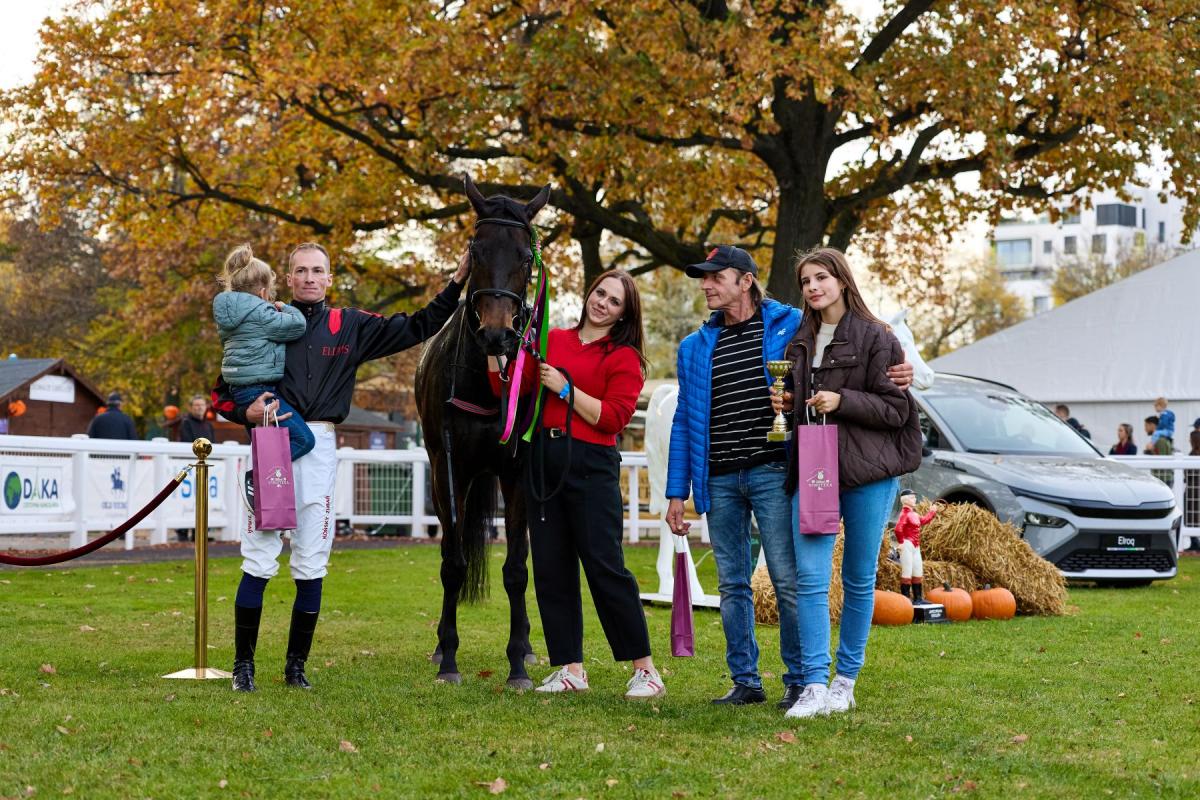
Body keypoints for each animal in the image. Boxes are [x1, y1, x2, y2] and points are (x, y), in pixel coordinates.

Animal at [414, 175, 551, 689]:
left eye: (526, 256)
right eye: (476, 246)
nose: (496, 333)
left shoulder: (516, 474)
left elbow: (516, 569)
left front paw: (517, 662)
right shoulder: (448, 470)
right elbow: (452, 564)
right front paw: (449, 658)